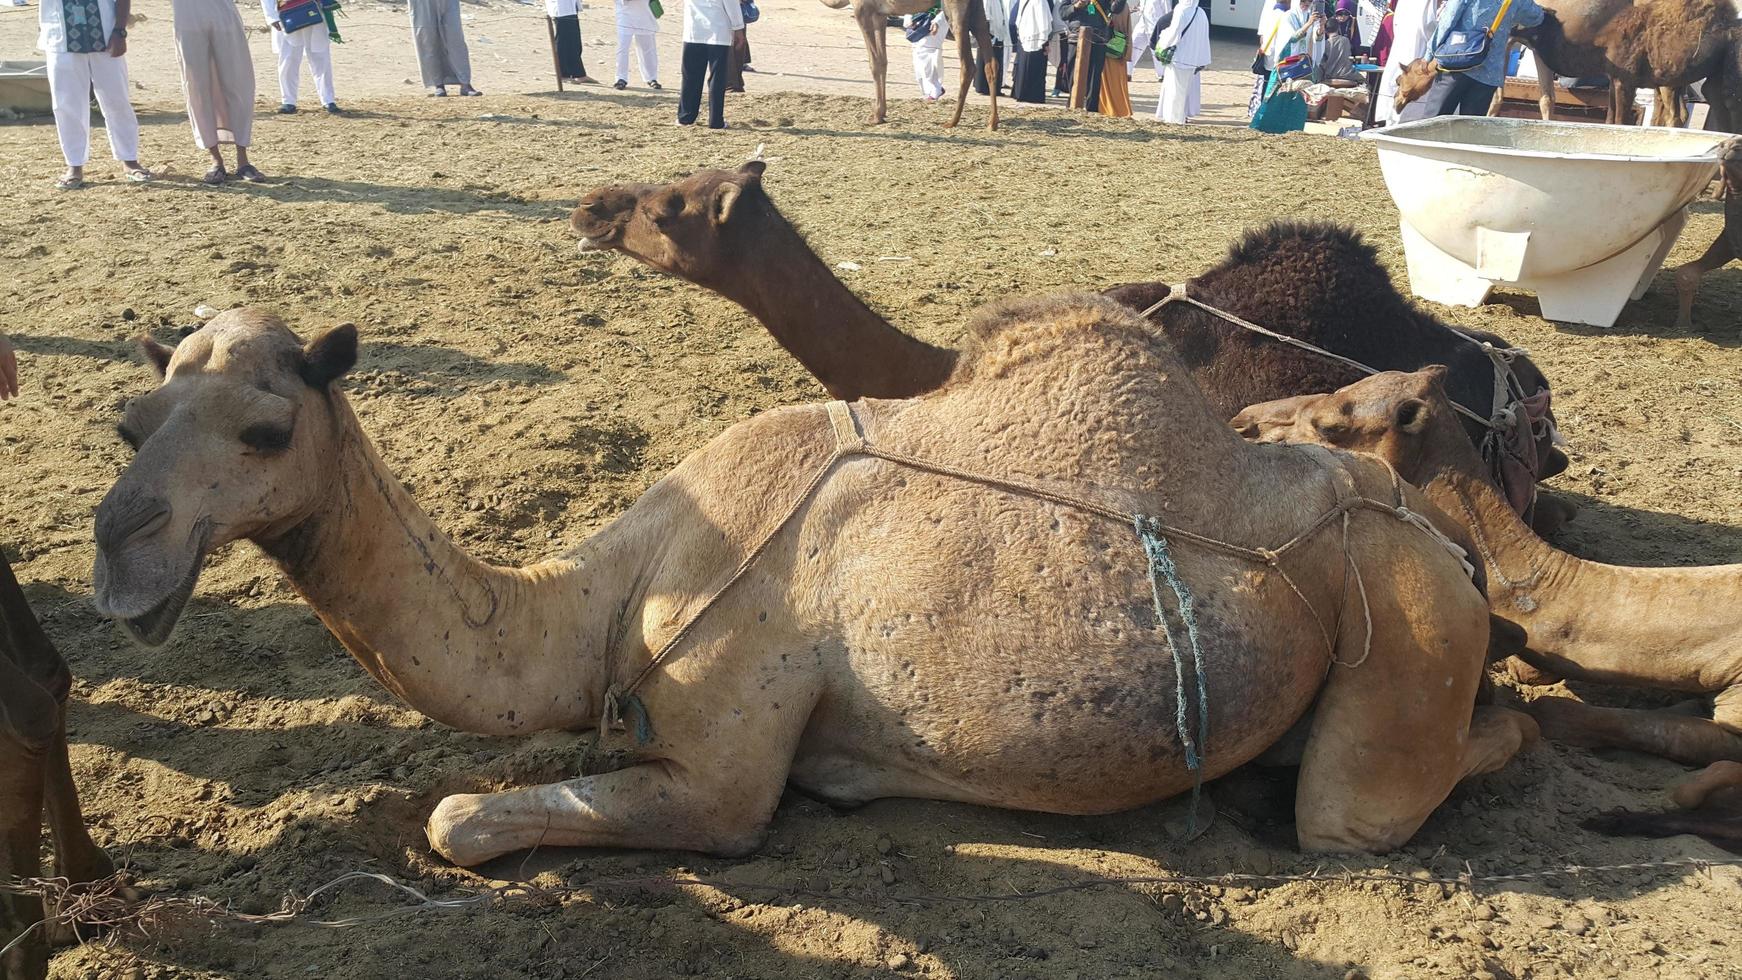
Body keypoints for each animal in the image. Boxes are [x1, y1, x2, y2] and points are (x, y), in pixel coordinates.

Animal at [91, 304, 1539, 866]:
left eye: (265, 430)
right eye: (127, 419)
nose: (116, 552)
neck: (612, 586)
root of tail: (1438, 533)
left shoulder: (727, 778)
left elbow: (460, 823)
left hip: (1405, 627)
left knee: (1367, 804)